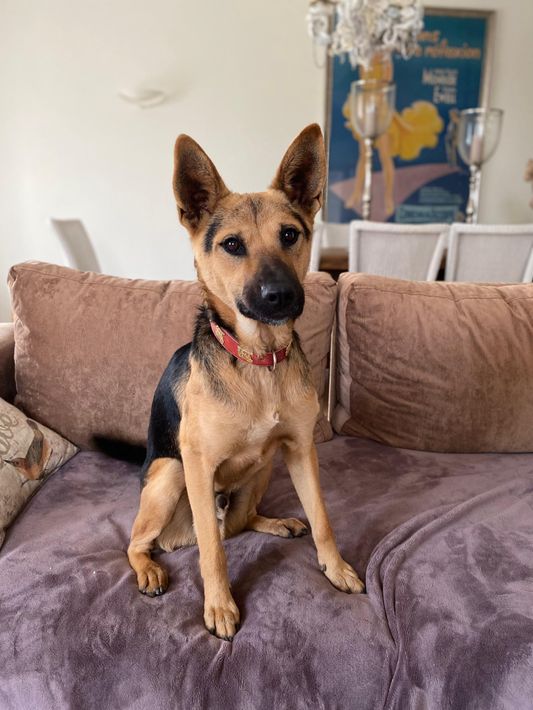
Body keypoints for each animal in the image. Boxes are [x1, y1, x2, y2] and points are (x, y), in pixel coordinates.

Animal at [127, 124, 364, 641]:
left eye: (290, 235)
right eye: (232, 245)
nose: (280, 296)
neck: (258, 362)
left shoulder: (300, 450)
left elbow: (322, 518)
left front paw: (335, 568)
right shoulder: (196, 465)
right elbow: (212, 552)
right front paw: (219, 606)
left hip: (264, 467)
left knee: (237, 523)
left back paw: (275, 523)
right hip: (170, 475)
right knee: (142, 542)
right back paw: (150, 569)